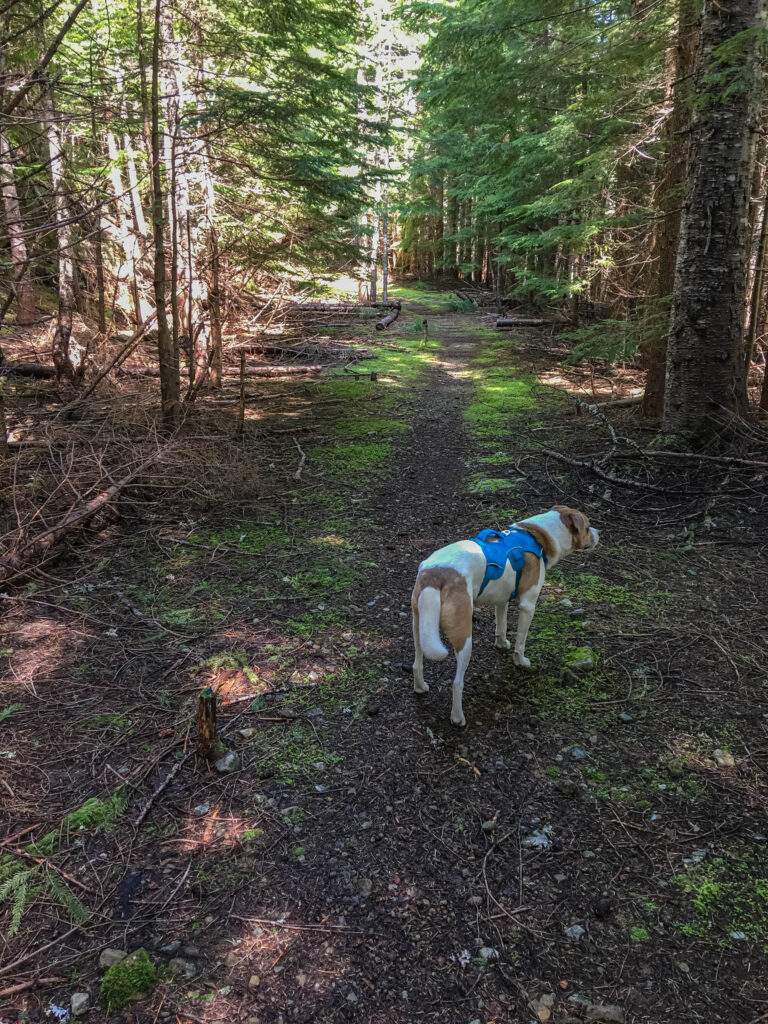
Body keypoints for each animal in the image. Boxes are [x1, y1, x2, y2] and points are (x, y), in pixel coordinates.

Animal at [415, 507, 602, 724]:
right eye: (588, 527)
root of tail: (435, 574)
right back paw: (458, 717)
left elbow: (501, 626)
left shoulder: (501, 600)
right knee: (457, 683)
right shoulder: (528, 605)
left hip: (419, 628)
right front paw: (521, 662)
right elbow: (521, 641)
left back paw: (420, 687)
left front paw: (501, 644)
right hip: (464, 638)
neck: (539, 536)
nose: (599, 533)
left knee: (417, 664)